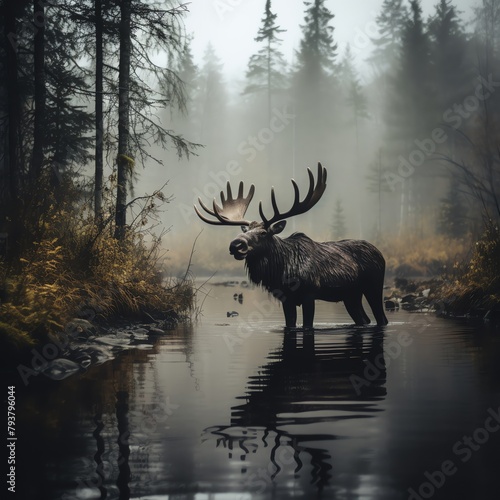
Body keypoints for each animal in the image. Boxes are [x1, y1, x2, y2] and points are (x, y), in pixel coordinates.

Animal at [193, 162, 388, 330]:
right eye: (246, 230)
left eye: (263, 233)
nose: (236, 244)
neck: (281, 270)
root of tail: (380, 253)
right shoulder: (285, 298)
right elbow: (290, 324)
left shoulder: (310, 293)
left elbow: (307, 325)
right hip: (351, 295)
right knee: (364, 319)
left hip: (374, 285)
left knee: (381, 318)